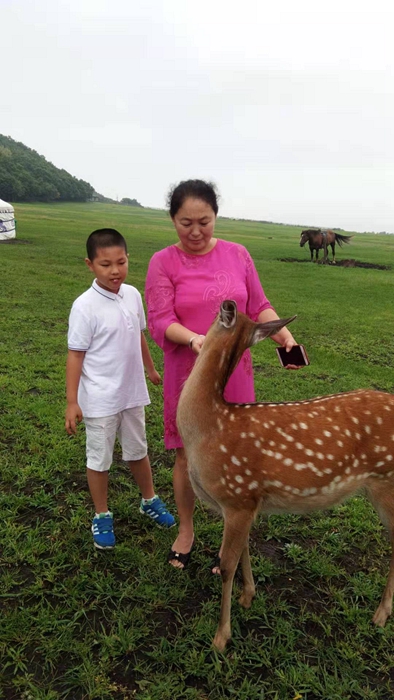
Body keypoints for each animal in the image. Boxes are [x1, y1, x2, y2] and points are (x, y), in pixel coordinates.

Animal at [177, 300, 394, 652]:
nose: (222, 304)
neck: (209, 428)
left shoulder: (237, 494)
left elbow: (225, 565)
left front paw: (221, 637)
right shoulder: (246, 502)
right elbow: (243, 552)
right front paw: (247, 597)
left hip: (386, 482)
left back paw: (380, 615)